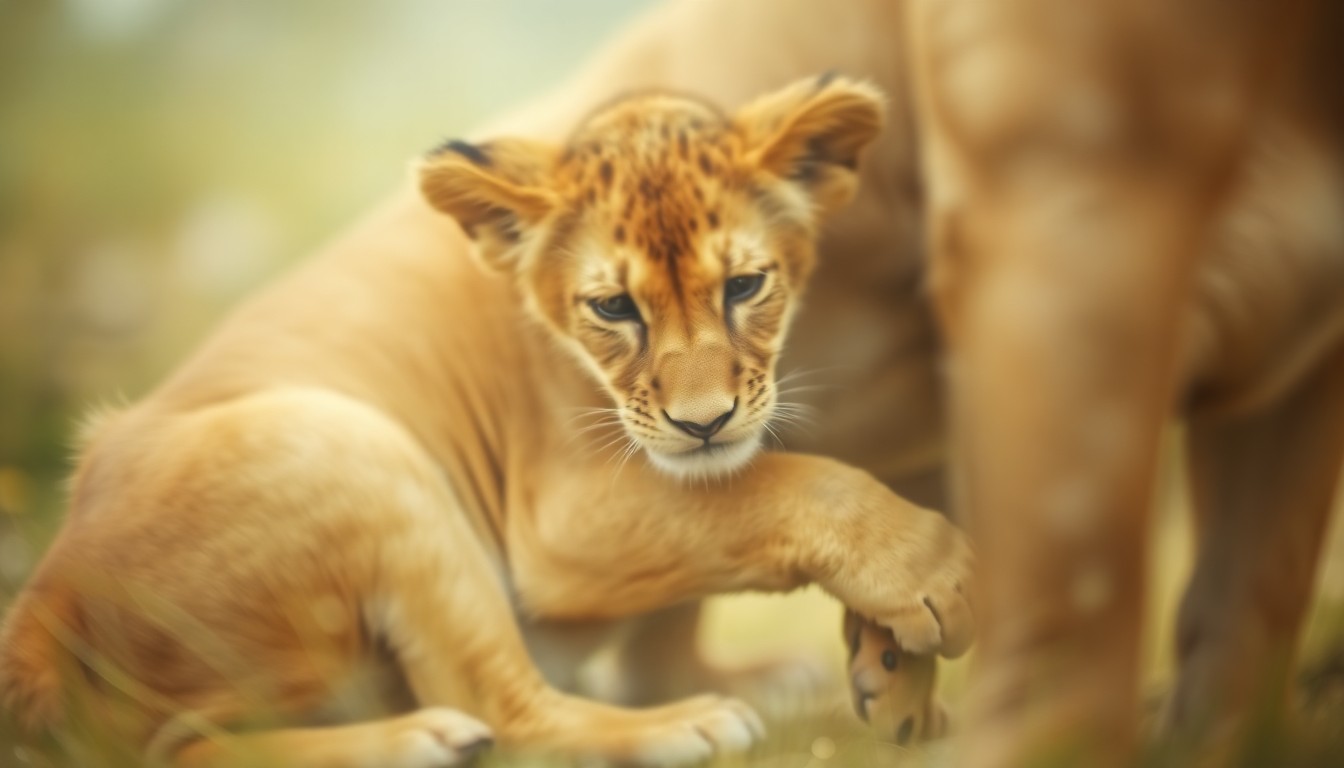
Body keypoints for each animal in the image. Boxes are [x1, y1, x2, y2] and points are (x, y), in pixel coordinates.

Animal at [0, 76, 975, 767]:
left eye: (744, 287)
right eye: (614, 307)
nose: (704, 422)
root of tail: (47, 593)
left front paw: (892, 676)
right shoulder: (564, 524)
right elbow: (794, 487)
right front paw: (934, 577)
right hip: (356, 446)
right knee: (491, 708)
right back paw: (635, 728)